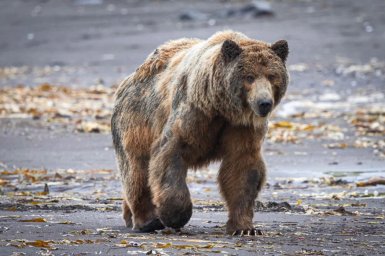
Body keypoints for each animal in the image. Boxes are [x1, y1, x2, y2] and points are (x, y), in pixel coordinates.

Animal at [111, 30, 288, 236]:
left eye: (272, 76)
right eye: (249, 77)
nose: (264, 103)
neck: (221, 107)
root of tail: (128, 80)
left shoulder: (241, 127)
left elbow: (242, 169)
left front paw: (244, 228)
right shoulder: (194, 113)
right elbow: (170, 153)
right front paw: (175, 215)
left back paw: (129, 215)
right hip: (136, 123)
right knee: (137, 170)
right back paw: (148, 221)